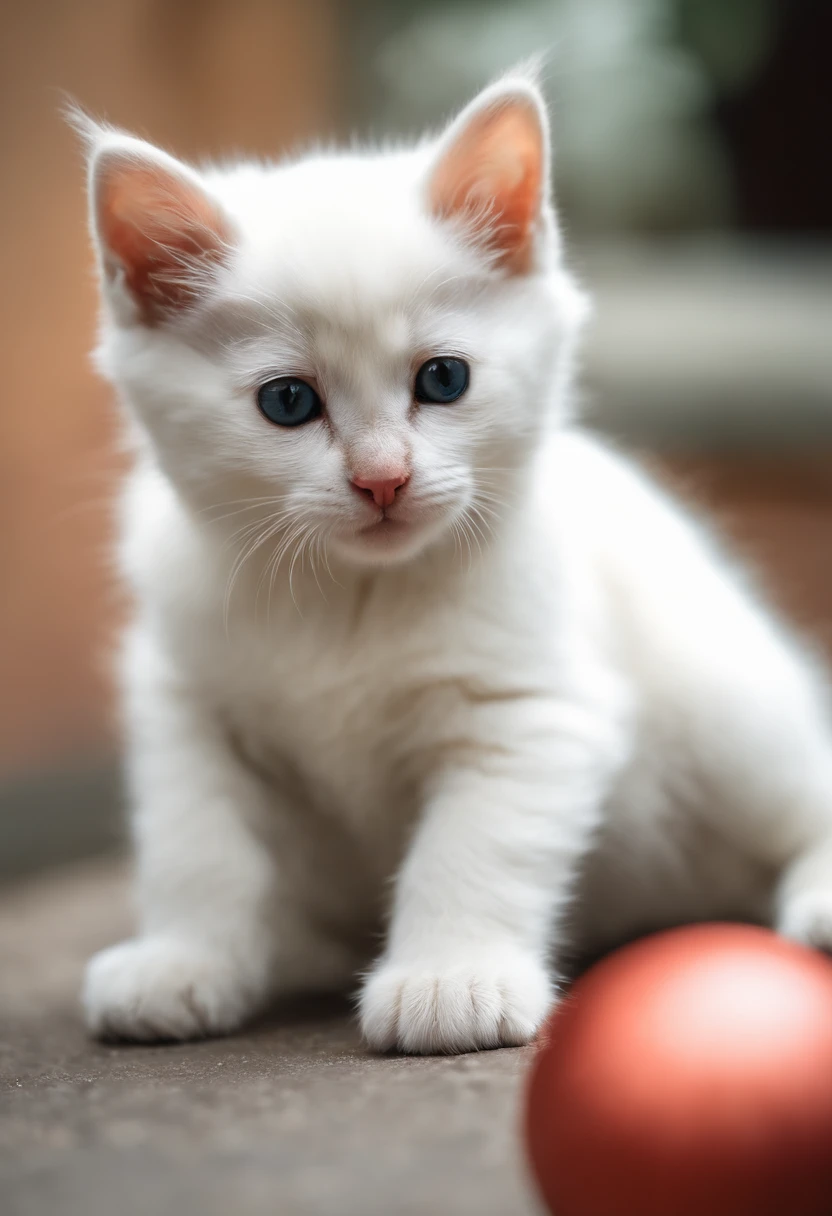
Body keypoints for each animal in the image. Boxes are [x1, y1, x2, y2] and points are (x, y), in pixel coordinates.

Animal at [79, 73, 832, 1055]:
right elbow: (195, 844)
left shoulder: (529, 712)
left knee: (802, 797)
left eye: (443, 380)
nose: (382, 479)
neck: (349, 598)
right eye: (287, 402)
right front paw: (183, 960)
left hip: (726, 710)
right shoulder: (186, 707)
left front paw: (450, 981)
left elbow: (471, 849)